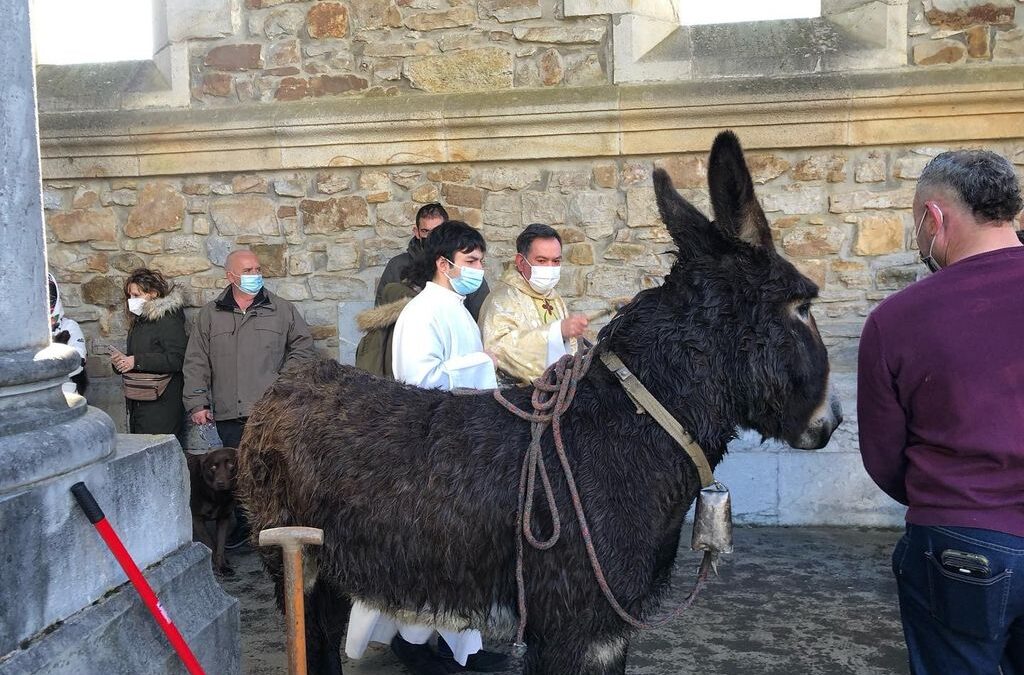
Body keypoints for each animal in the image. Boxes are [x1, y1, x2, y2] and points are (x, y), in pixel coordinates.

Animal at [187, 448, 236, 577]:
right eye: (213, 467)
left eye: (231, 466)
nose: (220, 483)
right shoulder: (197, 518)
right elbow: (211, 544)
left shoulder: (224, 518)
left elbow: (220, 545)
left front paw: (223, 566)